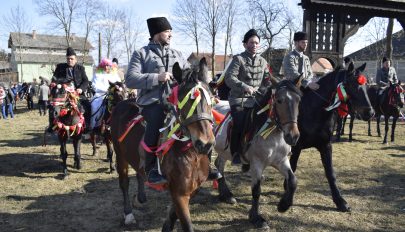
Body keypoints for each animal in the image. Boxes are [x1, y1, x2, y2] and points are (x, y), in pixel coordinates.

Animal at [109, 57, 213, 231]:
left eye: (210, 98)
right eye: (183, 101)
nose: (205, 144)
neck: (191, 155)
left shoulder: (190, 191)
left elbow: (171, 218)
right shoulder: (180, 194)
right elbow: (185, 224)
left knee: (140, 172)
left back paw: (140, 197)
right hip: (120, 155)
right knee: (124, 183)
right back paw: (128, 214)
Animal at [213, 78, 302, 228]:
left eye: (298, 100)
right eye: (279, 100)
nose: (293, 136)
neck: (273, 135)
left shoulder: (281, 161)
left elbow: (293, 180)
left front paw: (283, 205)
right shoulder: (257, 164)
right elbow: (256, 191)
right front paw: (256, 218)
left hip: (224, 152)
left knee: (219, 165)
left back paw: (226, 195)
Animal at [288, 61, 372, 212]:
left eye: (366, 86)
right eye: (352, 85)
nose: (370, 113)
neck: (314, 110)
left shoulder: (326, 145)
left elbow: (330, 173)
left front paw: (340, 201)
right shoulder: (296, 147)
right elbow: (293, 167)